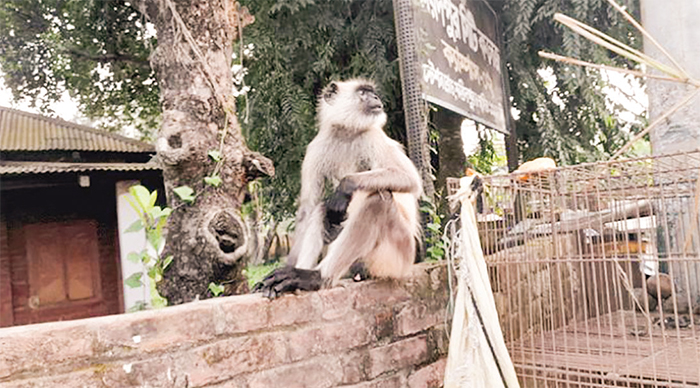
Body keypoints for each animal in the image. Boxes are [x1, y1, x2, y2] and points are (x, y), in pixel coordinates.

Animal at [256, 79, 422, 298]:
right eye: (363, 93)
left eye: (372, 93)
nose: (376, 97)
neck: (346, 133)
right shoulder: (317, 147)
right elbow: (308, 208)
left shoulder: (372, 135)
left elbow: (409, 179)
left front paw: (345, 187)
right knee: (322, 209)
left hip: (397, 256)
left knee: (378, 200)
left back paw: (316, 278)